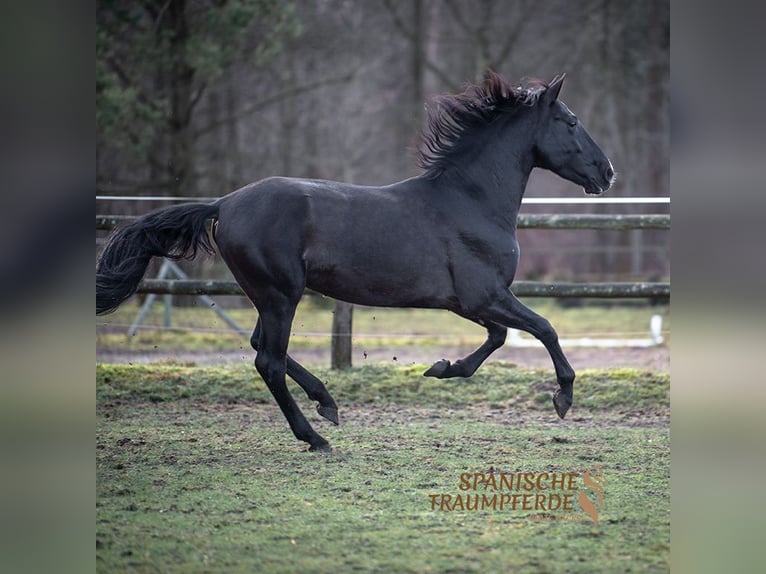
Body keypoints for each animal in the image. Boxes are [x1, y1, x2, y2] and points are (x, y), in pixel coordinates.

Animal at [99, 72, 616, 452]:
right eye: (571, 121)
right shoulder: (483, 295)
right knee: (268, 360)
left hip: (271, 296)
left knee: (262, 347)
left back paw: (326, 403)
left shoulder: (470, 302)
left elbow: (500, 336)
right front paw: (564, 397)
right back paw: (315, 437)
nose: (608, 173)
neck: (470, 200)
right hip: (280, 294)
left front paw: (442, 368)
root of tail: (223, 204)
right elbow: (543, 328)